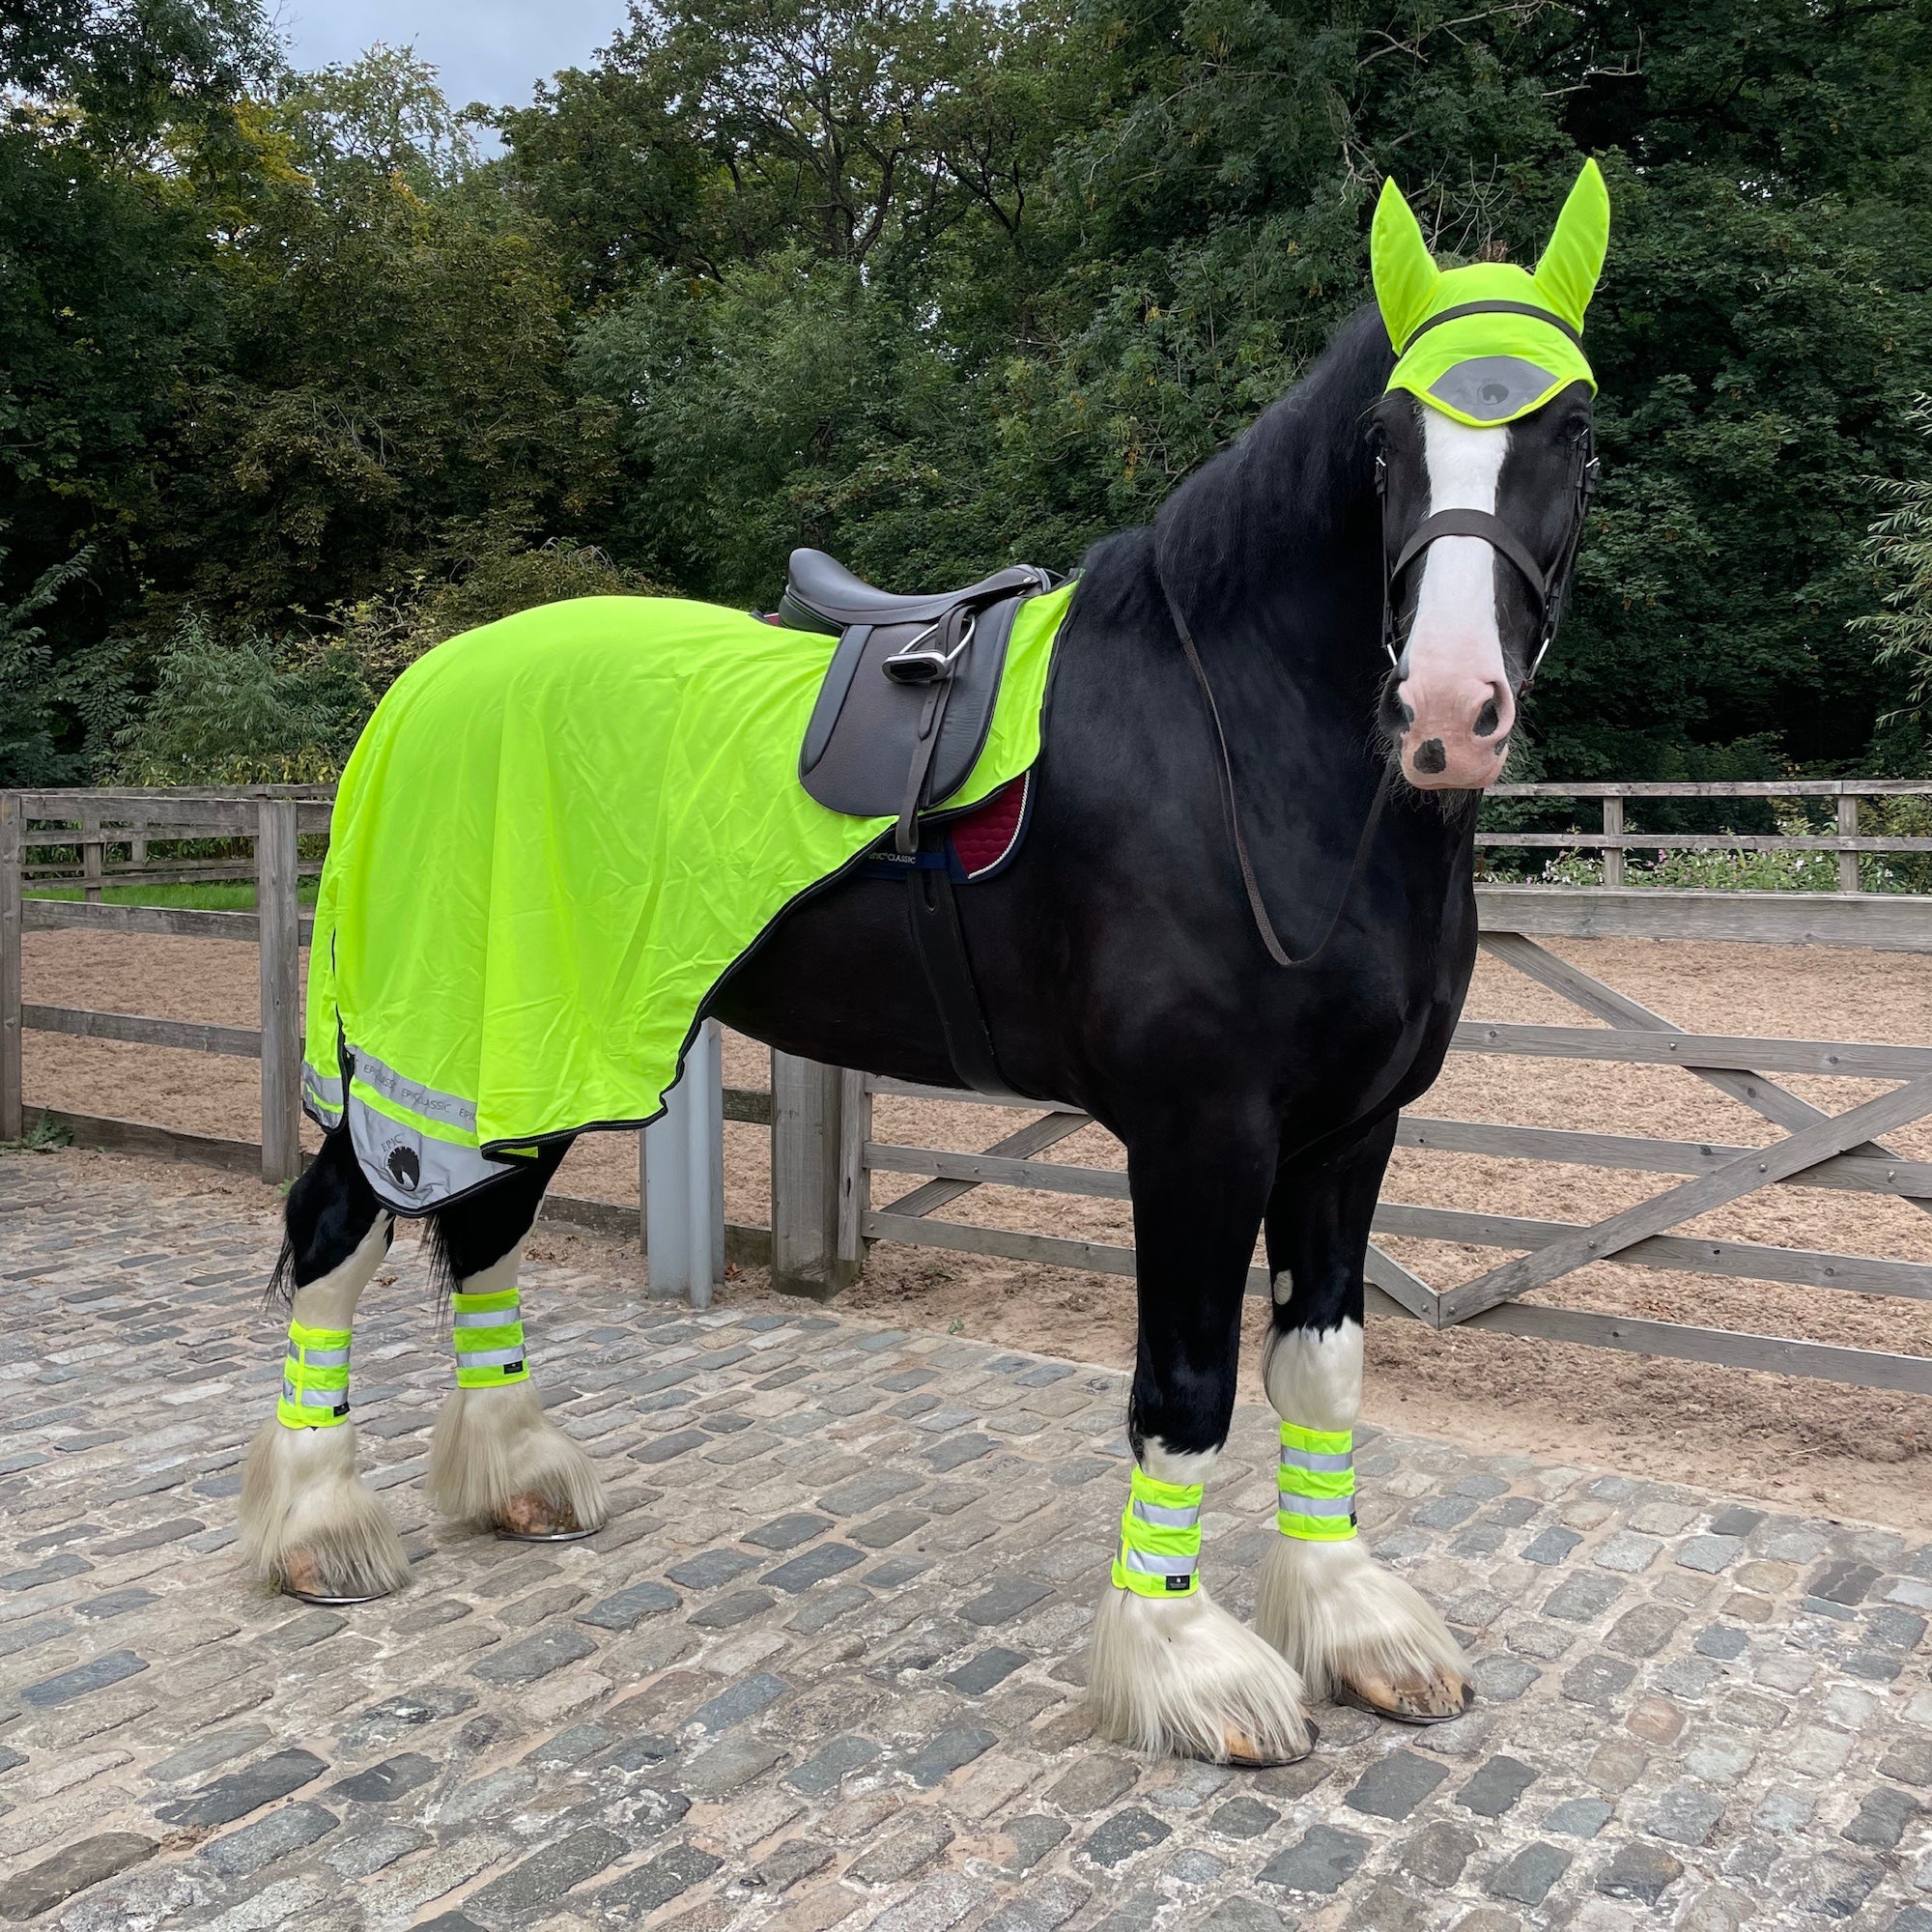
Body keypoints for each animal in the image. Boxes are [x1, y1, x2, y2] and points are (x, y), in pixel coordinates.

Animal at [238, 167, 1606, 1767]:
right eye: (1387, 439)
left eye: (1576, 432)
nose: (1449, 708)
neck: (1239, 747)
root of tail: (429, 682)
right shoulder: (1202, 1135)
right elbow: (1189, 1388)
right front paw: (1188, 1664)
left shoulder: (1352, 1130)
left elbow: (1320, 1366)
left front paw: (1351, 1627)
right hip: (443, 1041)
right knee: (344, 1226)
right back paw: (320, 1531)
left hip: (550, 1040)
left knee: (486, 1233)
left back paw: (514, 1477)